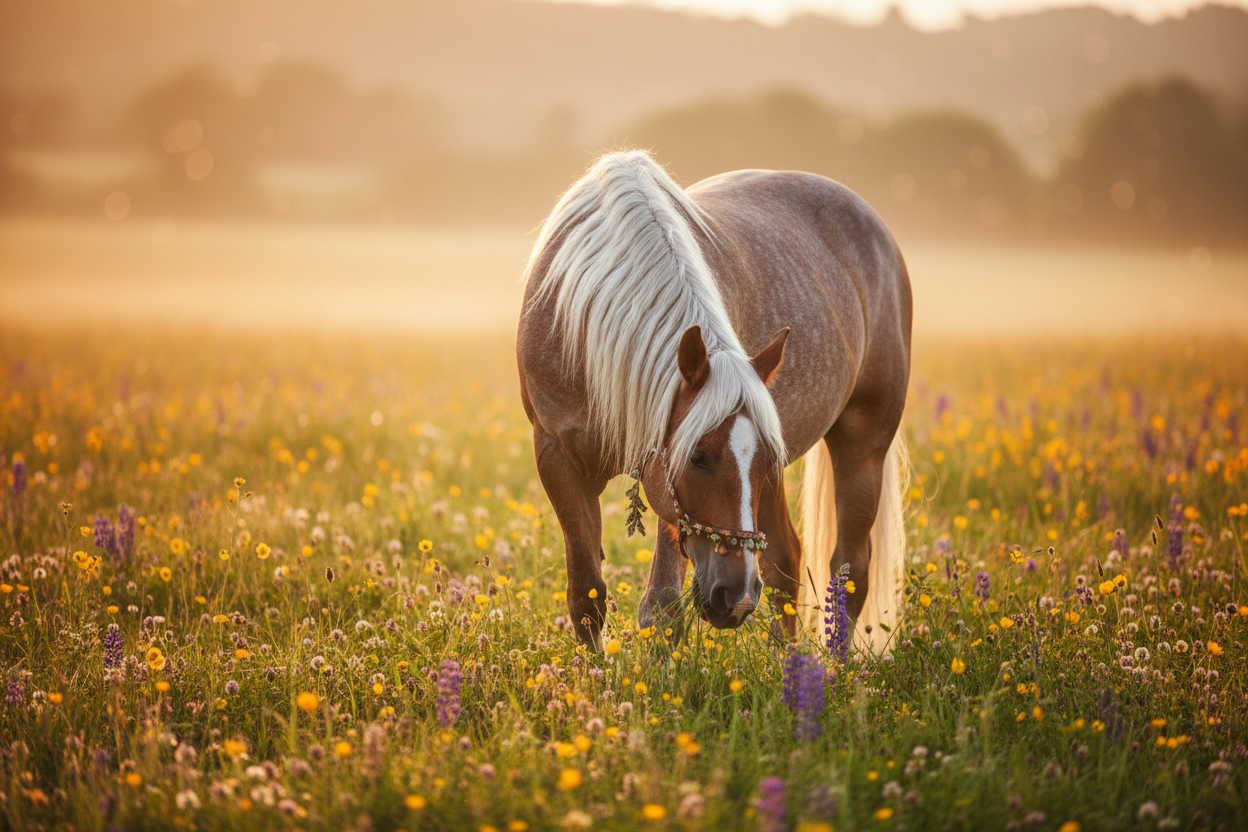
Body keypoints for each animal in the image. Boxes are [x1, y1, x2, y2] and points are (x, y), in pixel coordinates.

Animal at [517, 150, 911, 653]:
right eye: (698, 458)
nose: (737, 598)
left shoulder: (665, 483)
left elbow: (661, 609)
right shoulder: (558, 459)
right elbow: (586, 598)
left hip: (863, 446)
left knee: (851, 570)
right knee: (785, 562)